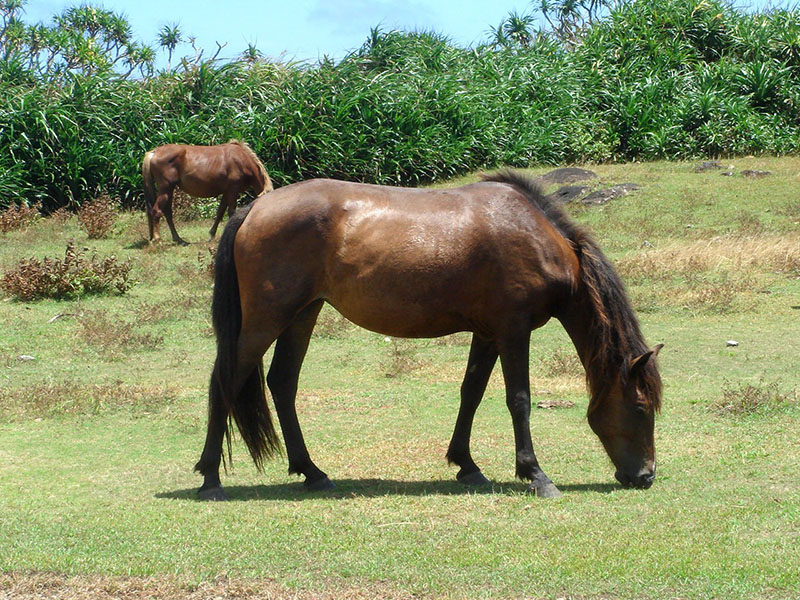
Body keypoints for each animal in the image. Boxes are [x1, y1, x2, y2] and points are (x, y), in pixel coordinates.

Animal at [140, 139, 272, 245]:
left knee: (167, 212)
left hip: (169, 190)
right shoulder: (232, 191)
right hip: (165, 189)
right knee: (157, 211)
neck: (241, 160)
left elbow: (220, 212)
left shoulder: (226, 192)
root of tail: (154, 152)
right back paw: (158, 239)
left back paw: (178, 239)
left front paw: (212, 234)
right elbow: (231, 212)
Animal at [197, 170, 664, 502]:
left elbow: (471, 392)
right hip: (266, 320)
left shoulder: (488, 333)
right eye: (641, 408)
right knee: (225, 380)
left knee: (282, 383)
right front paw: (535, 474)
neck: (535, 237)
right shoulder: (513, 331)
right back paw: (210, 477)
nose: (645, 476)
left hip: (301, 315)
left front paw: (466, 465)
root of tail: (254, 209)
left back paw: (312, 472)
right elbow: (519, 400)